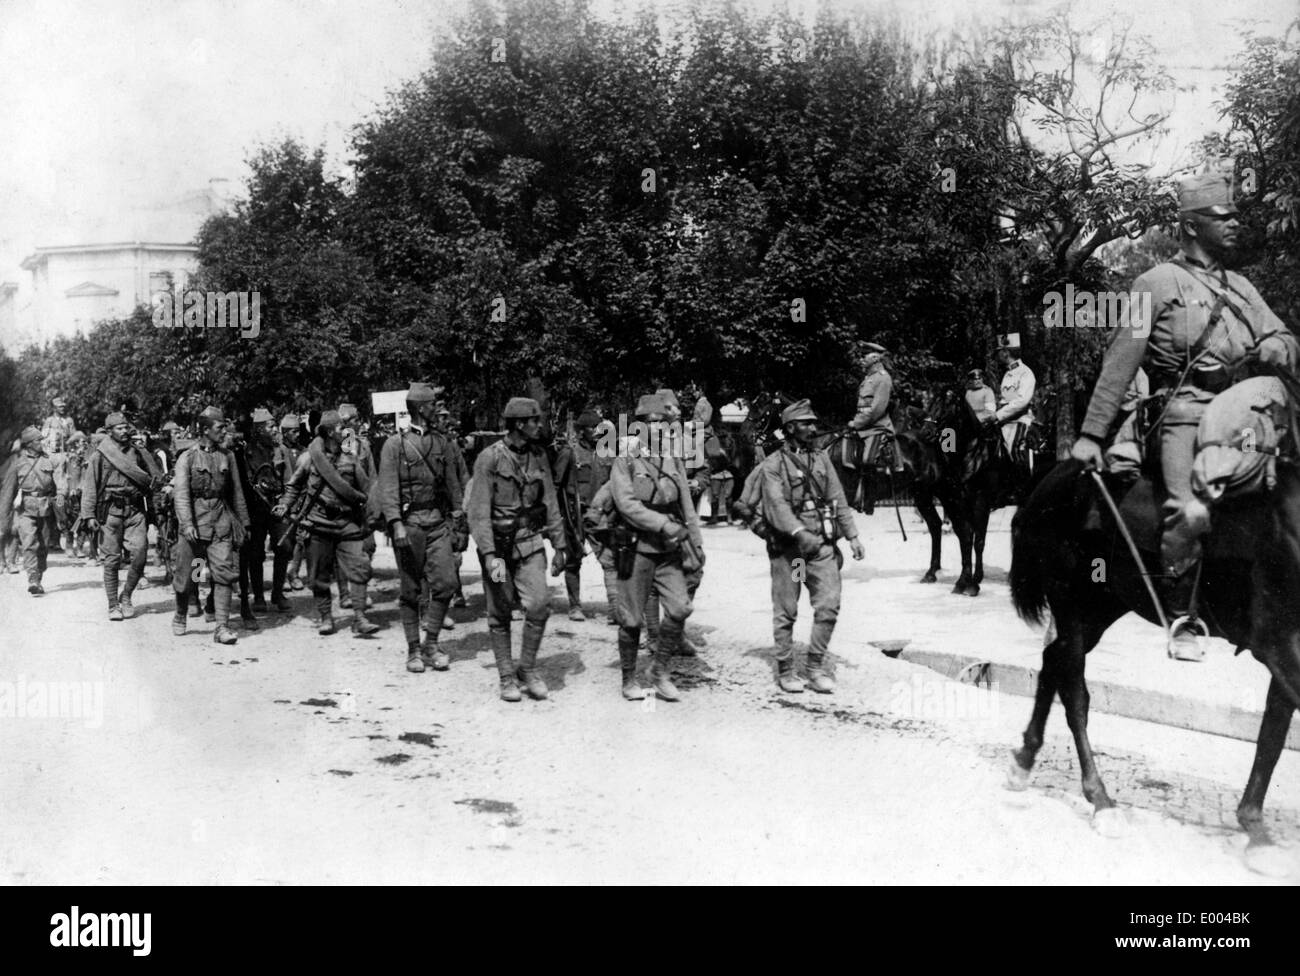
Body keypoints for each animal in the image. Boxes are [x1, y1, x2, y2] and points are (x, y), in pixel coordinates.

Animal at [1008, 457, 1300, 868]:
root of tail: (1059, 474)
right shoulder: (1279, 645)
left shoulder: (1284, 649)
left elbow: (1272, 732)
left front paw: (1255, 830)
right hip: (1070, 598)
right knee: (1074, 691)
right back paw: (1101, 801)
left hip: (1105, 603)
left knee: (1054, 661)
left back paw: (1024, 761)